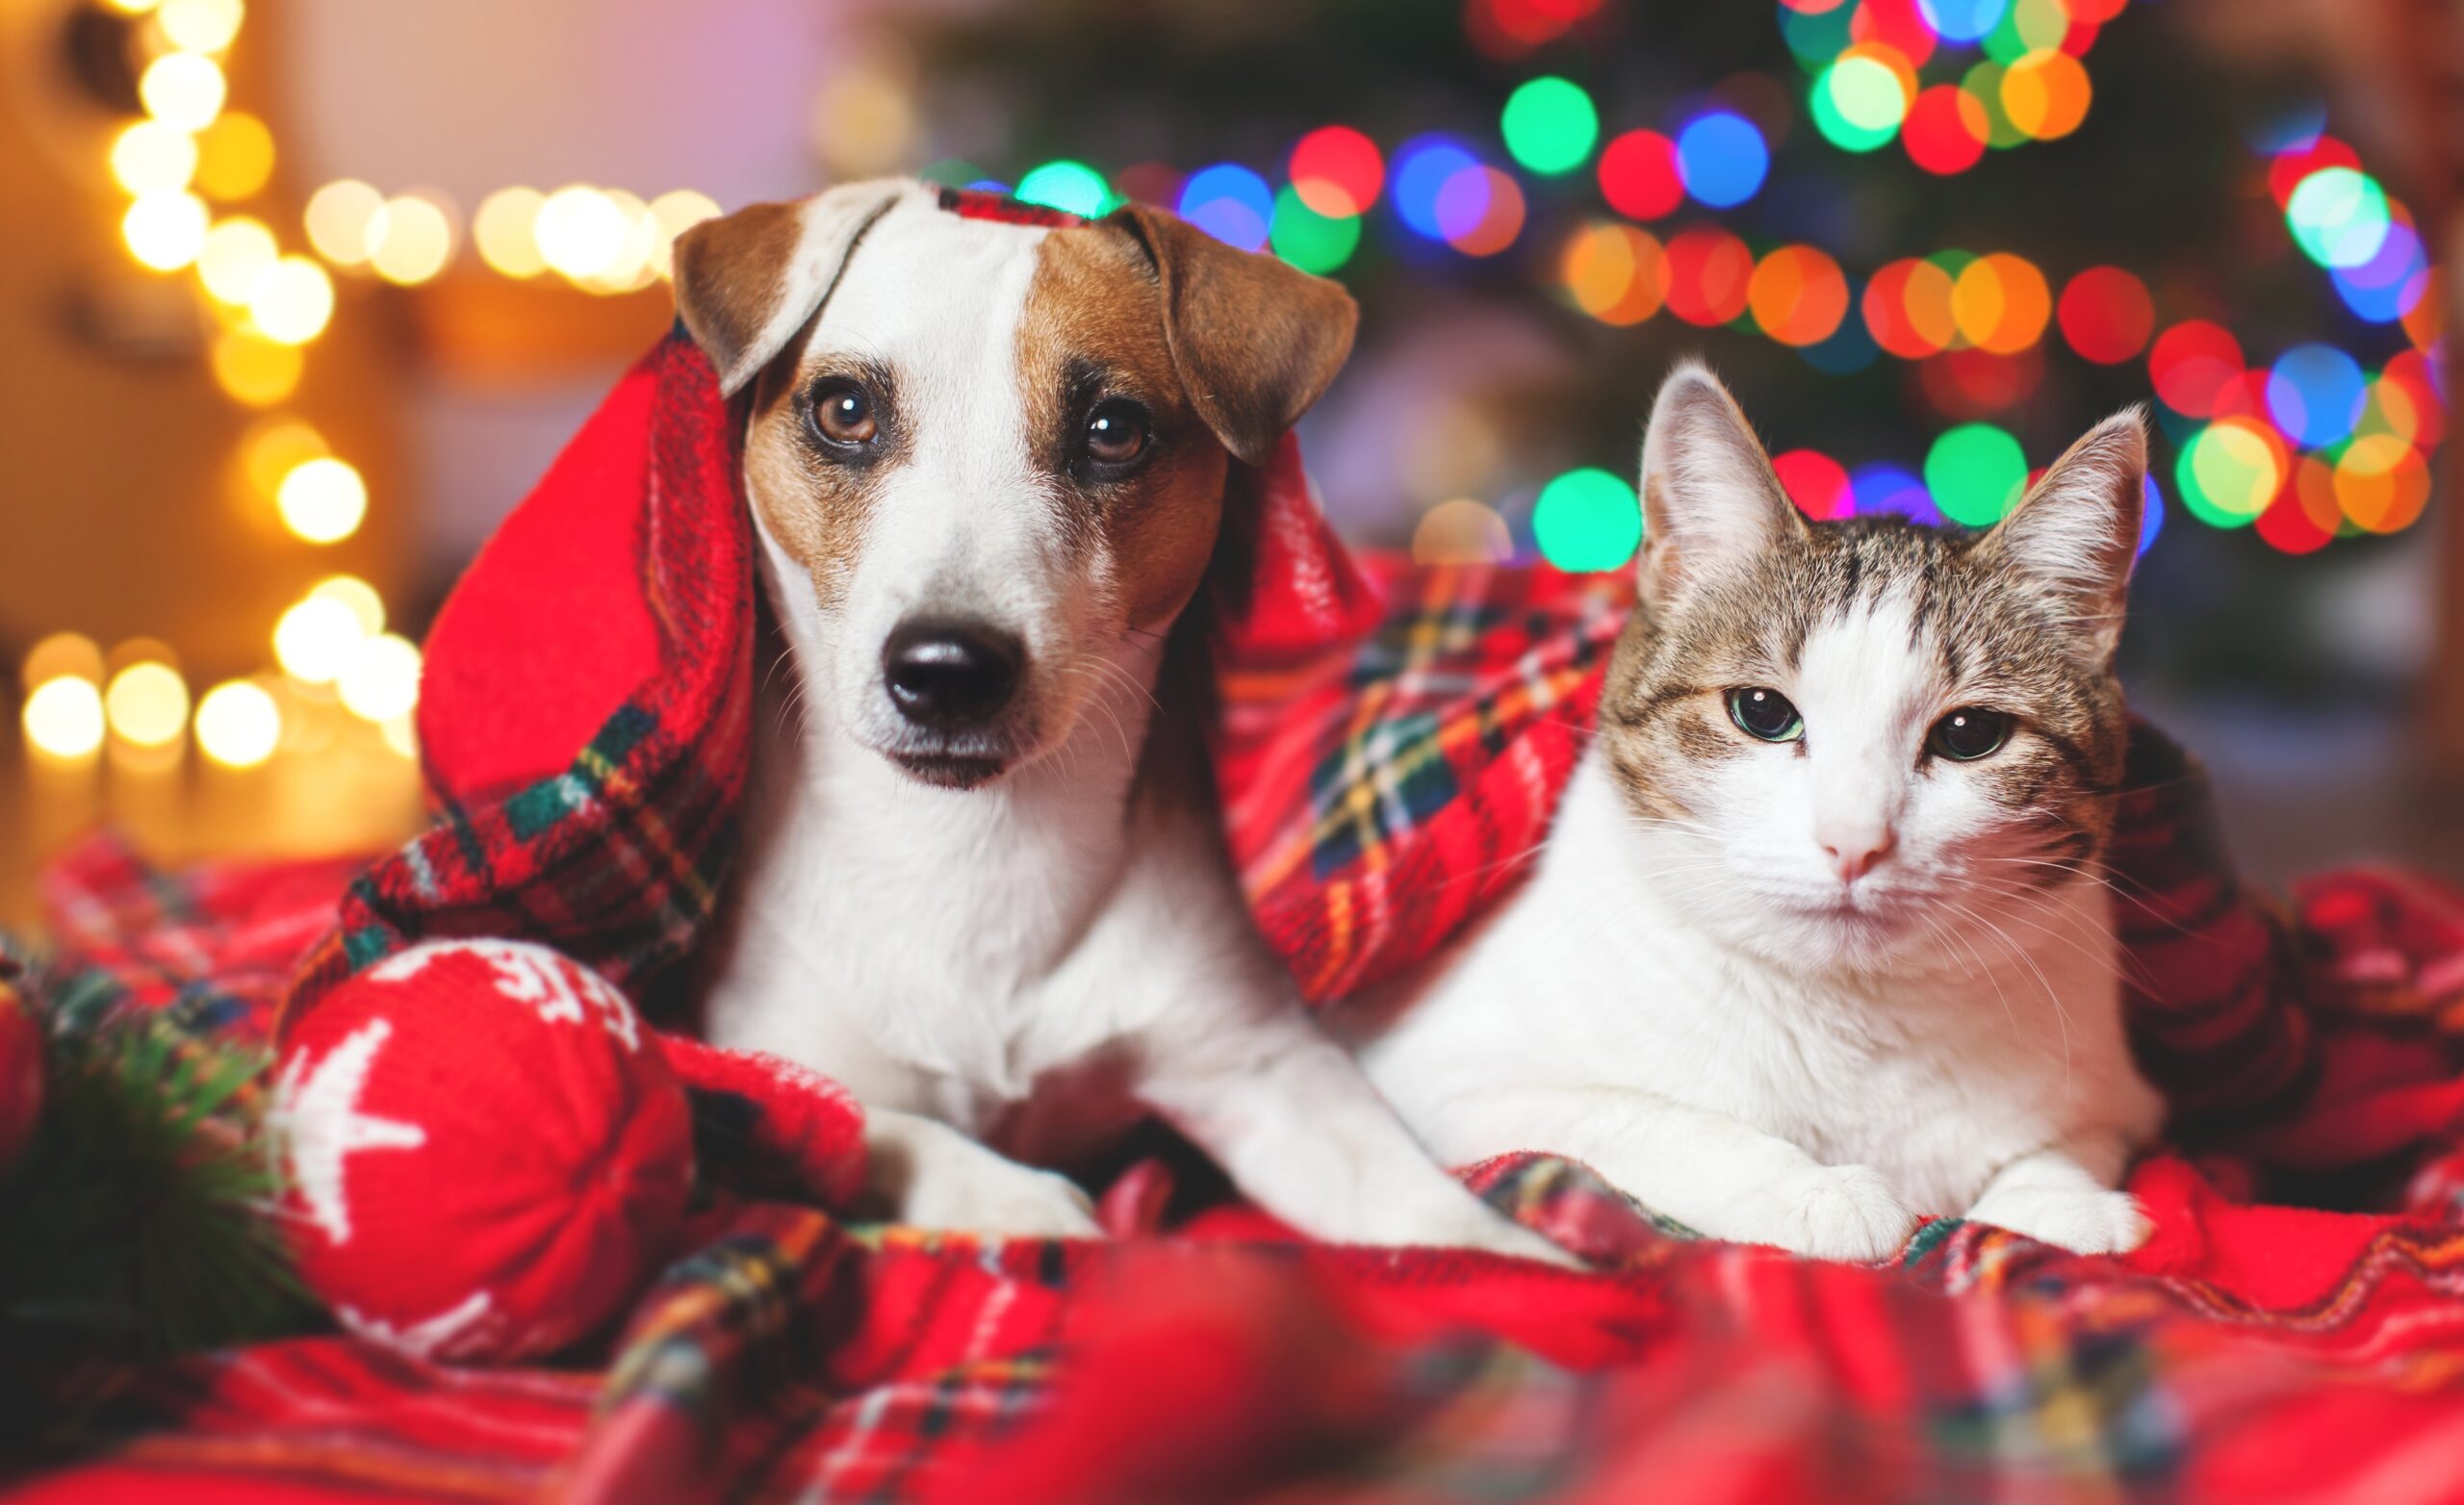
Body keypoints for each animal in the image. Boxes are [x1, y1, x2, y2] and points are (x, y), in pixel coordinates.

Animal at [675, 173, 1556, 1261]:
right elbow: (861, 1123)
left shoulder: (1266, 1072)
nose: (947, 669)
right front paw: (1014, 1201)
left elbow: (1428, 1208)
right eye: (845, 410)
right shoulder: (761, 1057)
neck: (973, 853)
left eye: (1112, 430)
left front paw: (1534, 1258)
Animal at [1340, 364, 2168, 1261]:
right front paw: (1813, 1190)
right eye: (1763, 712)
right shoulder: (1443, 1082)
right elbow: (1643, 1121)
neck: (1850, 1026)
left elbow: (2058, 1148)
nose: (1853, 842)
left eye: (1970, 734)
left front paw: (2058, 1200)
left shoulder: (2119, 1099)